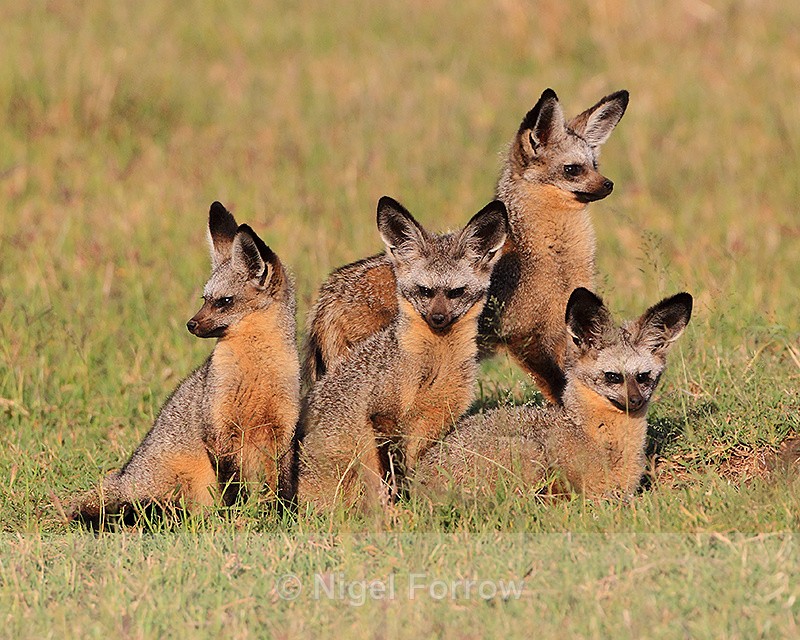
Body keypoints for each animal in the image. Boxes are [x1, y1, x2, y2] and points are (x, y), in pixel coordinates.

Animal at [70, 202, 300, 527]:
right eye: (204, 299)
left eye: (224, 302)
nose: (190, 324)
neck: (255, 372)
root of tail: (125, 476)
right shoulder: (218, 429)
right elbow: (232, 484)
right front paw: (235, 514)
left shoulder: (282, 428)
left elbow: (282, 482)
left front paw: (283, 514)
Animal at [296, 196, 508, 512]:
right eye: (424, 291)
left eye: (456, 292)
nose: (438, 318)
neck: (436, 363)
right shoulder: (383, 415)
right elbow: (393, 473)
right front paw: (401, 505)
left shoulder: (434, 423)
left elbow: (416, 467)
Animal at [301, 88, 628, 403]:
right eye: (572, 170)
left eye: (595, 166)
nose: (610, 184)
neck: (551, 255)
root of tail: (328, 293)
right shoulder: (523, 337)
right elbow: (559, 388)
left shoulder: (558, 332)